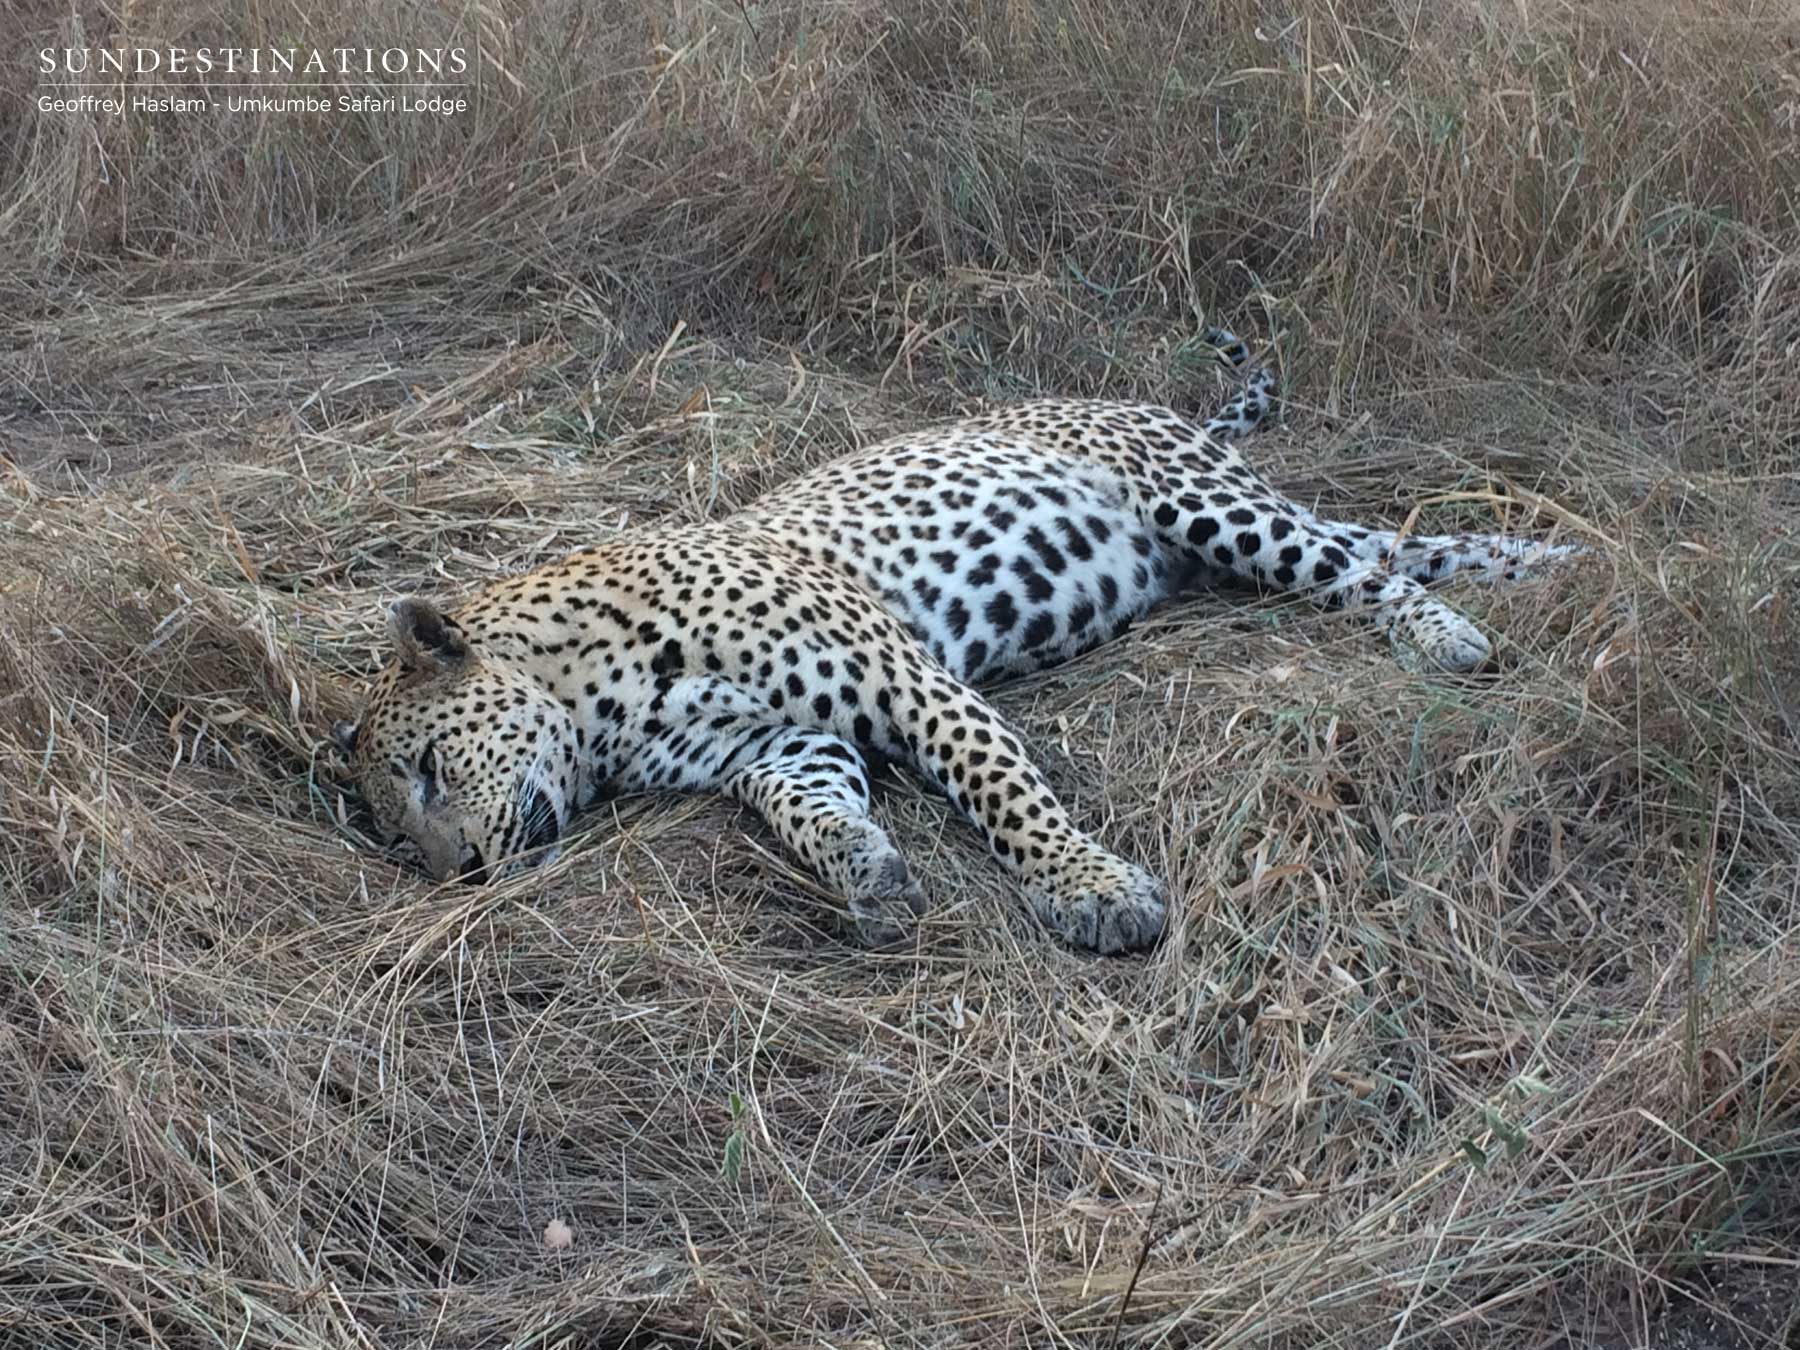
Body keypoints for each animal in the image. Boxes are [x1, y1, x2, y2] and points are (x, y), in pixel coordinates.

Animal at [332, 332, 1577, 954]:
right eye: (398, 837)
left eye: (428, 772)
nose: (462, 875)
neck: (602, 705)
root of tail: (1150, 406)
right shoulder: (780, 747)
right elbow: (811, 812)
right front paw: (868, 870)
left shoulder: (906, 680)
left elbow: (1004, 792)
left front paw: (1092, 890)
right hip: (1237, 533)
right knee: (1406, 543)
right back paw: (1560, 562)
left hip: (1207, 506)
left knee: (1364, 568)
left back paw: (1450, 636)